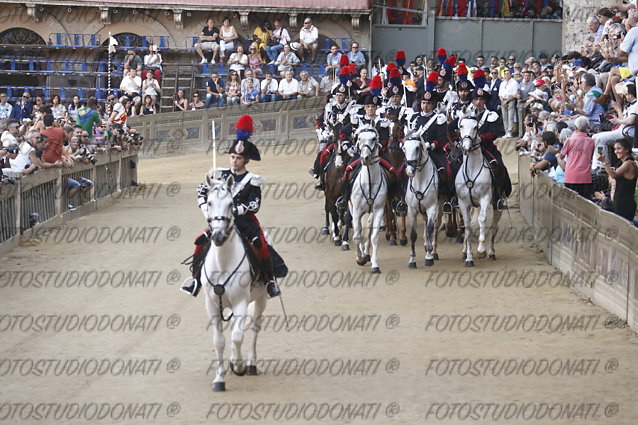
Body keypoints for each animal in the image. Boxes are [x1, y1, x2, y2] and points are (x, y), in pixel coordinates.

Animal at [202, 173, 268, 390]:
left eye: (231, 204)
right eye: (209, 202)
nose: (218, 236)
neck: (223, 263)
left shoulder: (241, 302)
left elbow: (238, 337)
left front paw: (238, 366)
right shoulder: (212, 305)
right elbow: (219, 341)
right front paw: (219, 379)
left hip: (261, 299)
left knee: (254, 328)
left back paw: (251, 364)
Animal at [350, 124, 390, 274]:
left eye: (374, 138)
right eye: (359, 138)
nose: (365, 158)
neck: (370, 183)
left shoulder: (378, 210)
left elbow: (373, 236)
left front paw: (374, 265)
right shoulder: (356, 210)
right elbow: (356, 235)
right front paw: (359, 258)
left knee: (367, 231)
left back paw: (366, 253)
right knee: (360, 230)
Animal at [402, 129, 442, 268]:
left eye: (417, 147)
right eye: (404, 148)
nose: (409, 171)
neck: (420, 180)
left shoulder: (431, 207)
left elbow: (430, 229)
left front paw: (429, 257)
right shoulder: (411, 210)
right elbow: (413, 234)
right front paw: (412, 259)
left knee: (435, 225)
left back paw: (433, 251)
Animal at [456, 112, 504, 264]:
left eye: (475, 127)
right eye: (461, 125)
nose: (466, 146)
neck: (472, 169)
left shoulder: (485, 198)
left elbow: (482, 220)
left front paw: (481, 249)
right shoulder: (463, 202)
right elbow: (467, 225)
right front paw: (467, 254)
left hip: (498, 205)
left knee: (493, 227)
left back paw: (491, 252)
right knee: (472, 224)